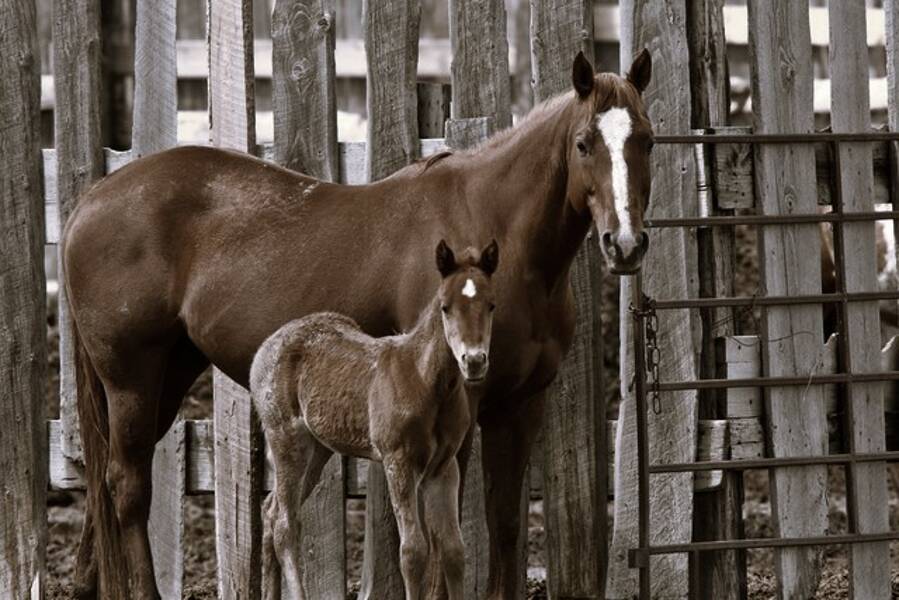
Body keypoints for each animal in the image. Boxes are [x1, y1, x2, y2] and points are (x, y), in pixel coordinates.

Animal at [250, 239, 496, 600]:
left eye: (491, 305)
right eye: (445, 307)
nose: (474, 361)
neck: (426, 380)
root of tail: (267, 345)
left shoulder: (443, 466)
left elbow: (453, 550)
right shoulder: (398, 460)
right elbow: (413, 551)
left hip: (318, 449)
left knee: (271, 511)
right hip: (285, 438)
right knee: (284, 524)